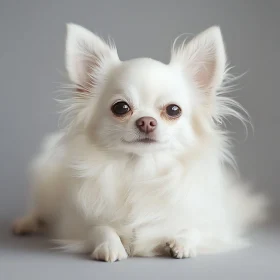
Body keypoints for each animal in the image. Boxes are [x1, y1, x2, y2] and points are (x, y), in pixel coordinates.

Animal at [12, 23, 266, 262]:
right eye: (121, 107)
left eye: (173, 110)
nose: (146, 121)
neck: (141, 169)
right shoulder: (74, 226)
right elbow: (99, 228)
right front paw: (110, 246)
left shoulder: (218, 228)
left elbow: (193, 229)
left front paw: (182, 243)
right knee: (40, 209)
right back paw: (25, 223)